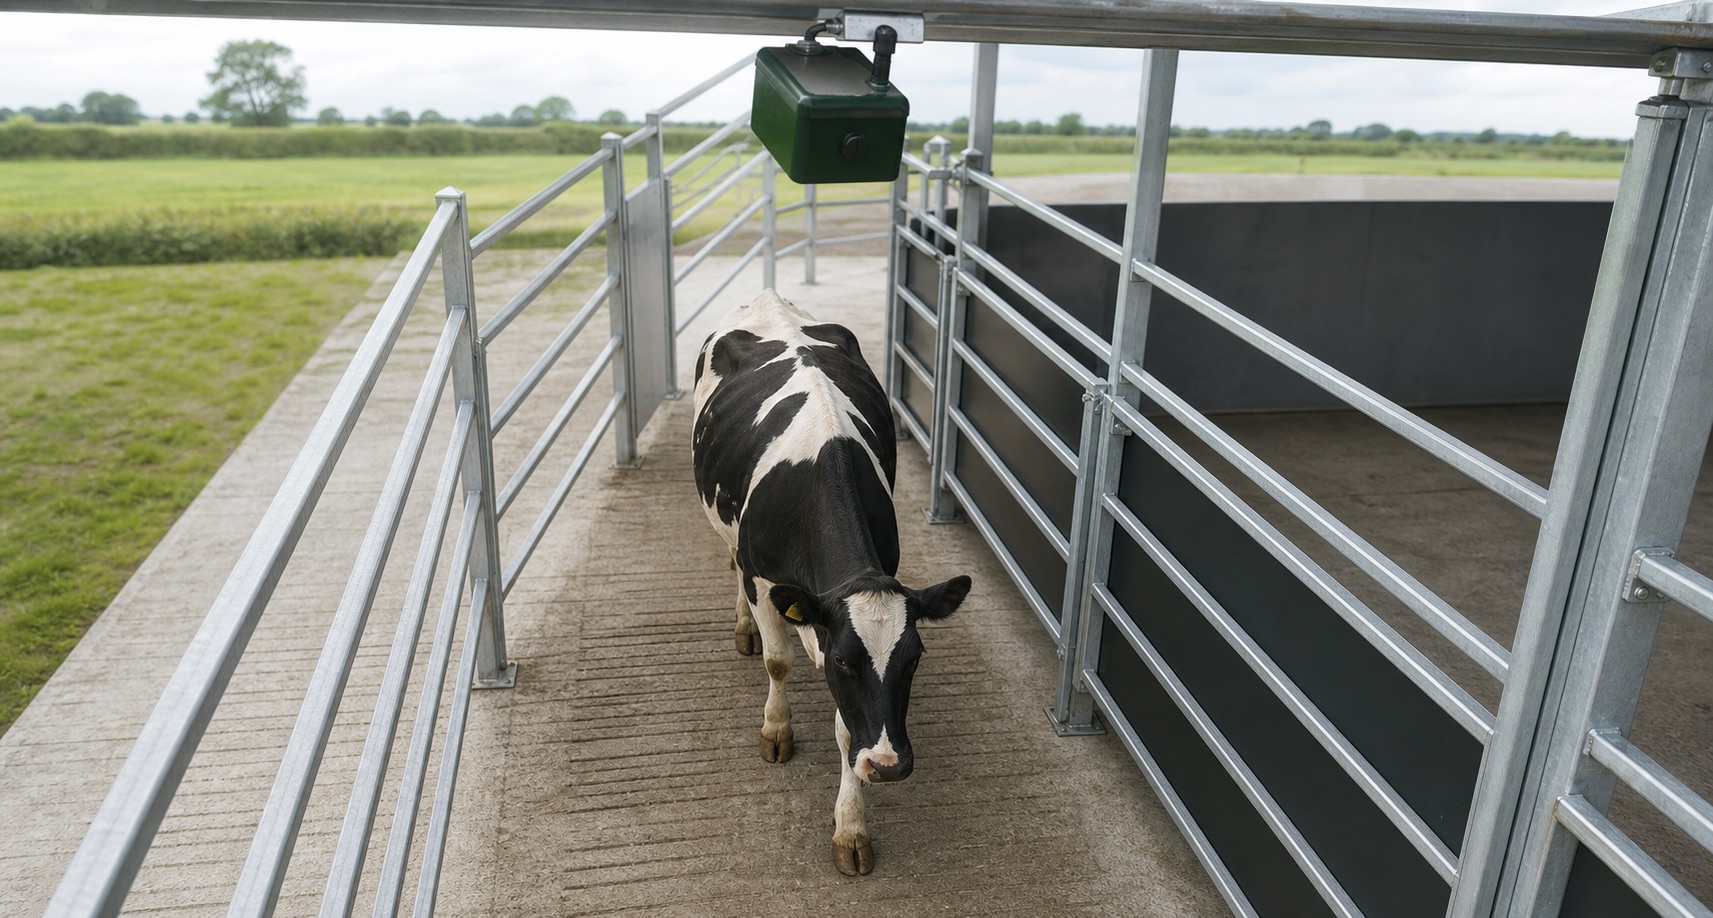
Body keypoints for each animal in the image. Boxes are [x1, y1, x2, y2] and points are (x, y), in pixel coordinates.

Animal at [691, 289, 971, 877]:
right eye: (844, 659)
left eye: (915, 657)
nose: (889, 766)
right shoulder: (763, 578)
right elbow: (778, 661)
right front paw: (776, 729)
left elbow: (847, 728)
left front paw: (851, 828)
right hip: (727, 528)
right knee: (730, 561)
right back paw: (744, 629)